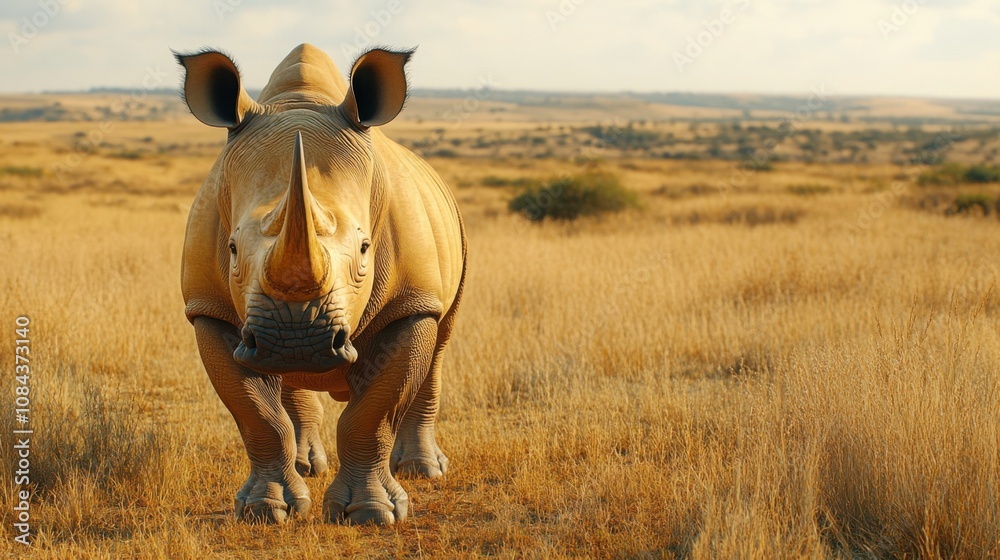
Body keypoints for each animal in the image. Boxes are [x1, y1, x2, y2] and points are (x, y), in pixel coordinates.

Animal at [176, 44, 466, 525]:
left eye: (366, 249)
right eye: (232, 249)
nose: (297, 341)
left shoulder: (411, 303)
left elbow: (371, 414)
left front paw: (372, 515)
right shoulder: (207, 309)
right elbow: (256, 414)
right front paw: (265, 510)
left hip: (452, 233)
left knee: (441, 342)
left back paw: (424, 470)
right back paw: (306, 465)